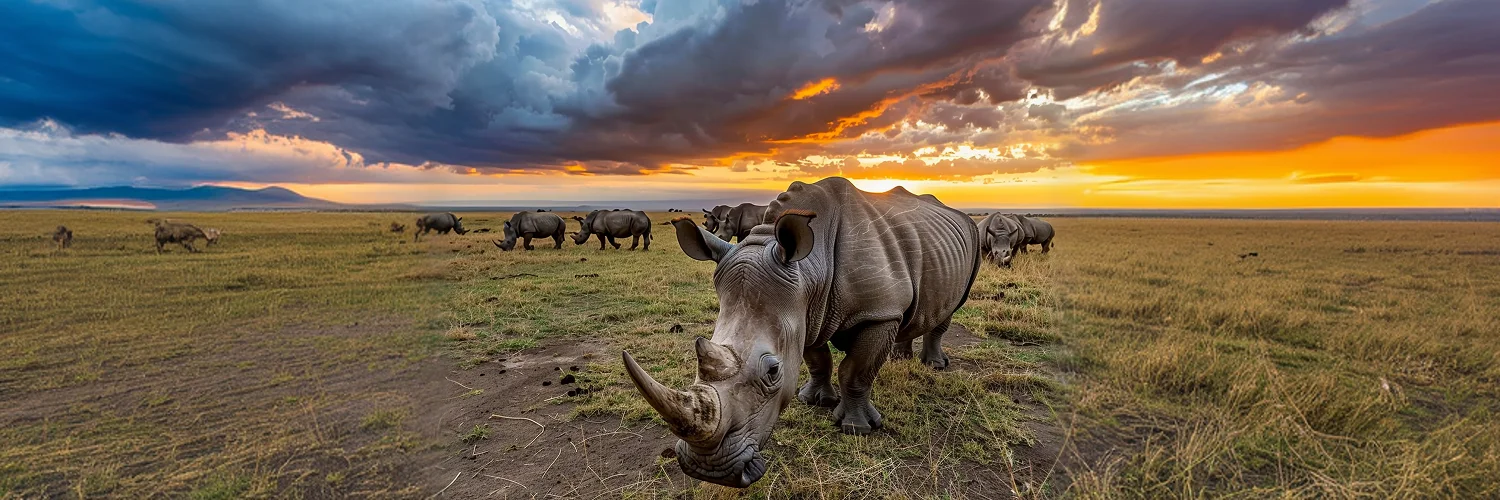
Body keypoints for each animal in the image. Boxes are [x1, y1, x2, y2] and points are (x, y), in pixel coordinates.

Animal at [632, 177, 980, 487]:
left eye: (773, 371)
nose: (709, 470)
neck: (810, 270)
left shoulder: (878, 312)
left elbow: (856, 370)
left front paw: (856, 428)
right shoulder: (805, 313)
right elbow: (817, 360)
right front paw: (814, 400)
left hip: (971, 243)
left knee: (954, 304)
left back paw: (934, 365)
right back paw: (899, 359)